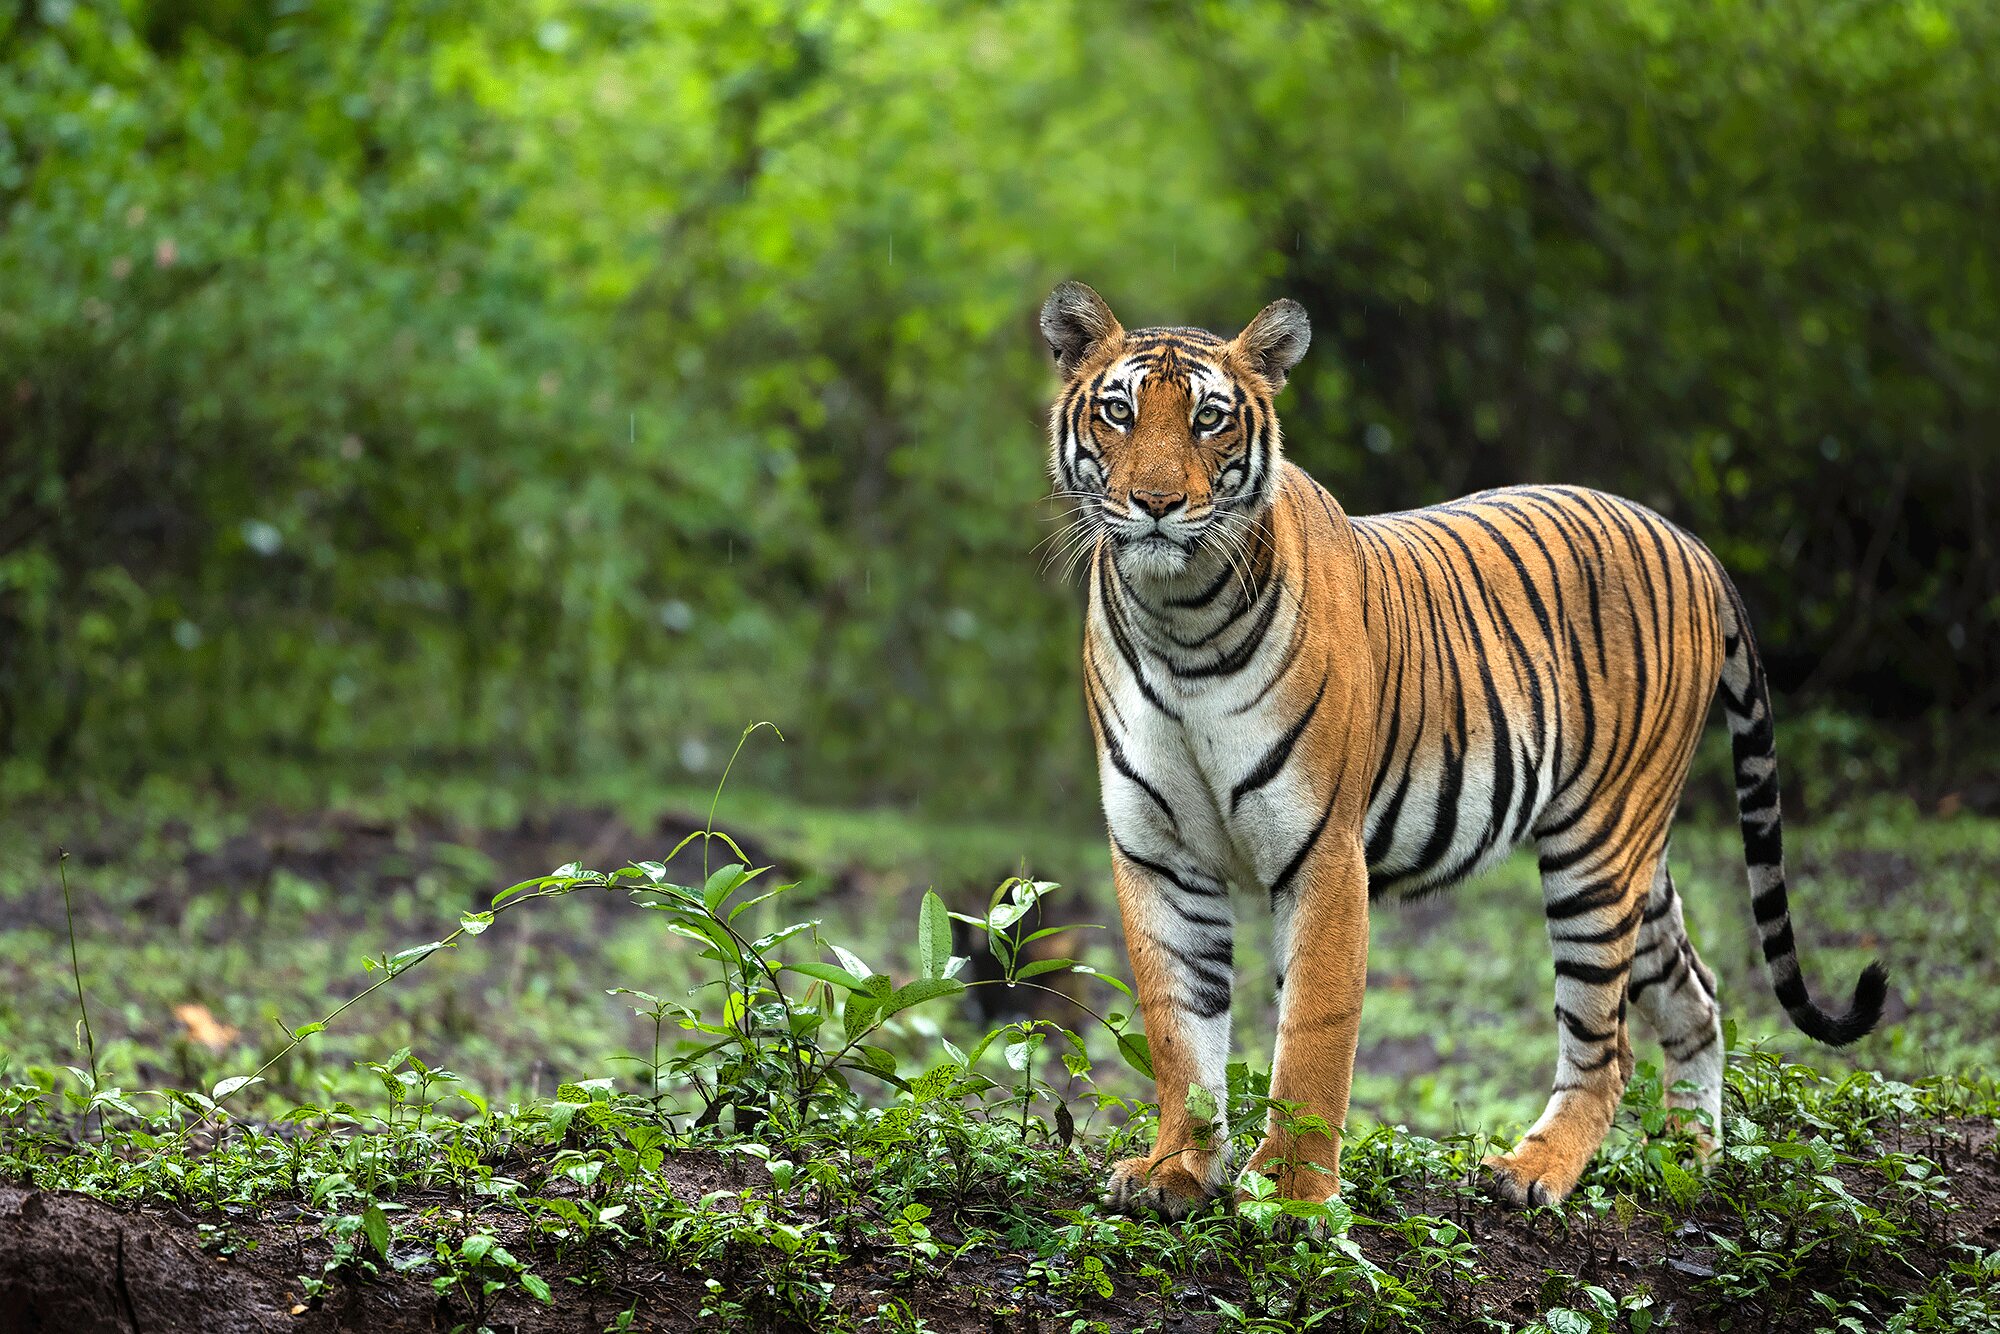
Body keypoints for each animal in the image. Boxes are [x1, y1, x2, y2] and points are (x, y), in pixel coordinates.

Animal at [1037, 280, 1887, 1214]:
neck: (1179, 618)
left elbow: (1314, 1036)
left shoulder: (1324, 852)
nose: (1154, 504)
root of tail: (1692, 543)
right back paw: (1689, 1164)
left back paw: (1534, 1170)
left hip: (1596, 850)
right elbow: (1180, 1031)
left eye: (1209, 419)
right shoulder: (1157, 853)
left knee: (1607, 1046)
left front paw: (1294, 1198)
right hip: (1636, 853)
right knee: (1694, 999)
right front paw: (1175, 1172)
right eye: (1118, 412)